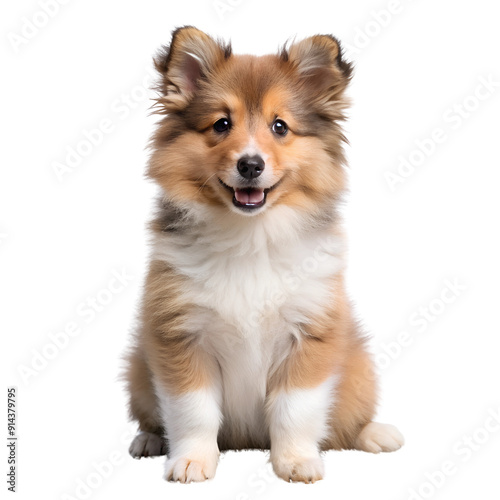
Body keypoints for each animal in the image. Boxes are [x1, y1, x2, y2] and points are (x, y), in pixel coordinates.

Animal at [124, 25, 402, 482]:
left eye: (280, 126)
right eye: (221, 124)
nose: (250, 165)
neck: (250, 236)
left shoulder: (310, 333)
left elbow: (295, 410)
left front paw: (296, 462)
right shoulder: (179, 334)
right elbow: (193, 410)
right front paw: (191, 461)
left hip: (358, 369)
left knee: (347, 422)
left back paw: (376, 433)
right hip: (137, 369)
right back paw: (148, 440)